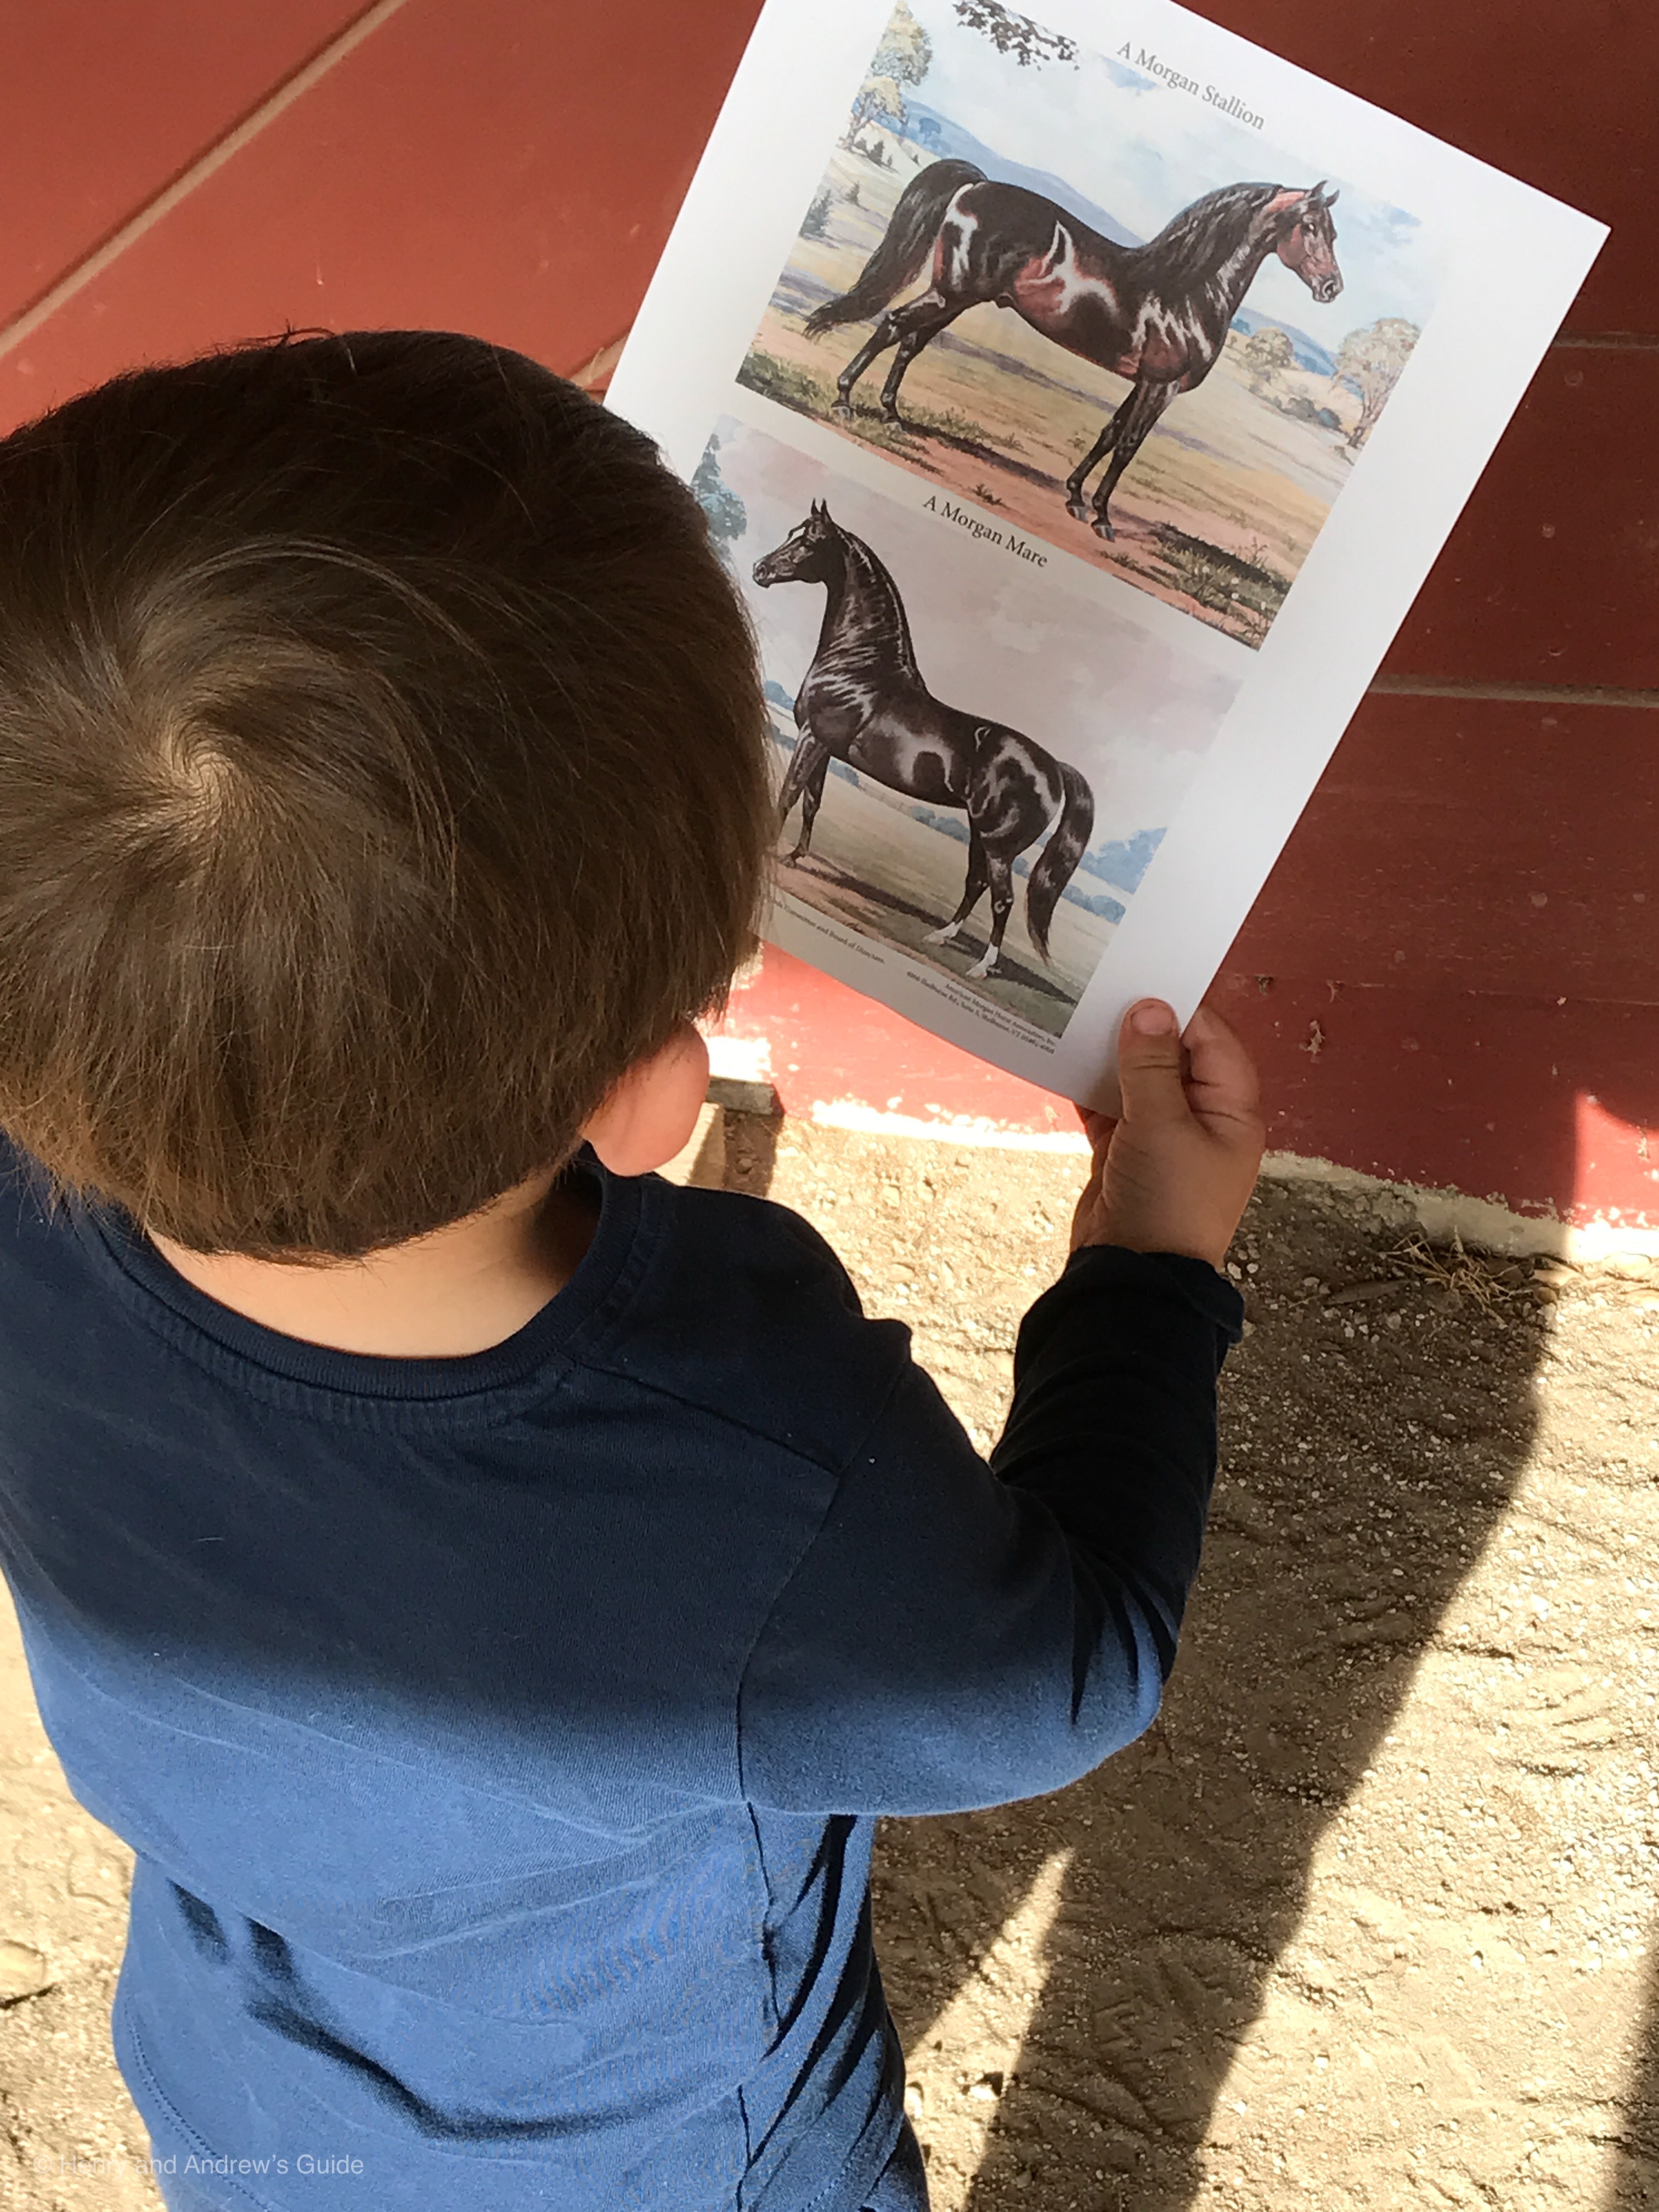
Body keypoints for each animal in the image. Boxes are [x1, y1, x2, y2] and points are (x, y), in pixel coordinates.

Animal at [756, 509, 1097, 978]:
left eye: (809, 541)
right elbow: (812, 801)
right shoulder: (824, 747)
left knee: (1003, 899)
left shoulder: (813, 738)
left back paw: (982, 966)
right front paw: (795, 856)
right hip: (980, 834)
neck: (860, 667)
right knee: (975, 883)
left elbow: (789, 794)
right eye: (793, 533)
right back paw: (941, 936)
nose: (761, 570)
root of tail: (1053, 769)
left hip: (999, 845)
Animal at [814, 160, 1345, 539]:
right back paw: (844, 400)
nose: (1332, 289)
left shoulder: (1143, 382)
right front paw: (1103, 518)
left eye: (1332, 231)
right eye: (1311, 227)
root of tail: (976, 187)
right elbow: (1128, 447)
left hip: (956, 298)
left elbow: (1109, 433)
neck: (1190, 290)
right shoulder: (1162, 386)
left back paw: (892, 416)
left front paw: (1074, 497)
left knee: (910, 342)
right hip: (952, 294)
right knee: (892, 327)